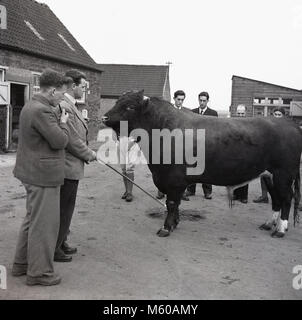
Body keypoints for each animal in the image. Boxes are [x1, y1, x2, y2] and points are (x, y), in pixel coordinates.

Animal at [102, 90, 302, 238]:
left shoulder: (173, 179)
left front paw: (166, 228)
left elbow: (172, 203)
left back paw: (280, 230)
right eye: (117, 101)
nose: (104, 118)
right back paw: (269, 224)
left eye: (129, 106)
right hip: (269, 175)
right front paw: (175, 223)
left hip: (283, 174)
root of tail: (289, 123)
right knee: (276, 199)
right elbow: (174, 204)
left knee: (286, 198)